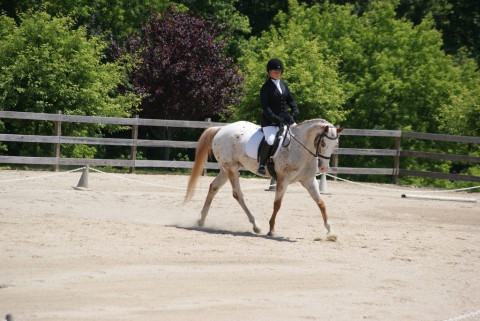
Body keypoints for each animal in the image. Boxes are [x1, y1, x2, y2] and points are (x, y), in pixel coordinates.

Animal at [182, 119, 344, 239]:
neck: (301, 148)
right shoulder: (283, 180)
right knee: (237, 194)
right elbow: (277, 204)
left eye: (335, 145)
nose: (323, 169)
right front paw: (271, 230)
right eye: (323, 143)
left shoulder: (309, 181)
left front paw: (330, 232)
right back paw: (256, 226)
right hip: (232, 169)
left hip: (226, 169)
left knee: (213, 187)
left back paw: (201, 220)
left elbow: (321, 203)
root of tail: (221, 129)